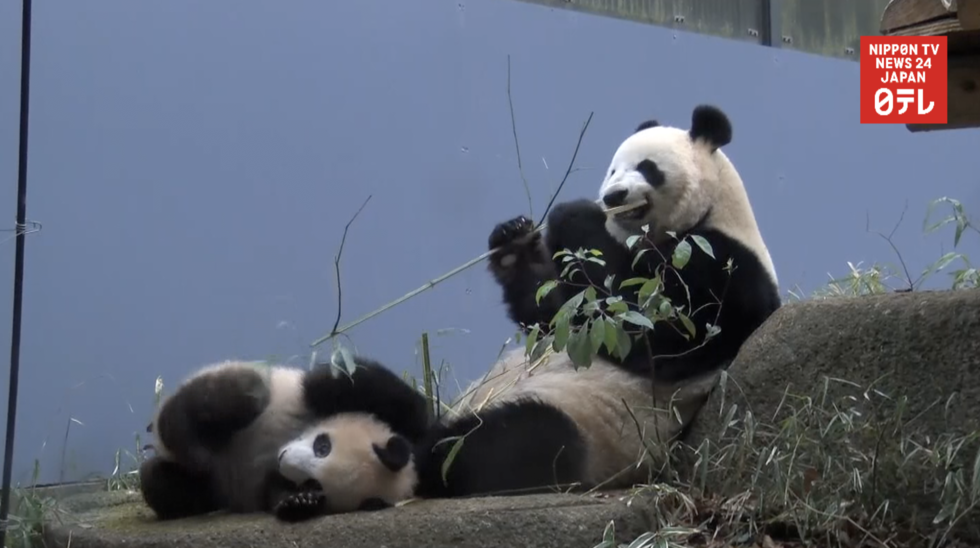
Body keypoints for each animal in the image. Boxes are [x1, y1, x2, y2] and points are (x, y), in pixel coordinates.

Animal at [139, 355, 430, 522]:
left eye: (313, 483)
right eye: (322, 446)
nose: (283, 458)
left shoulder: (271, 481)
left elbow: (275, 493)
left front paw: (299, 504)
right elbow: (351, 380)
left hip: (208, 487)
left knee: (164, 484)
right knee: (232, 393)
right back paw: (191, 442)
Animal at [411, 104, 781, 499]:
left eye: (647, 167)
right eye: (613, 169)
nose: (614, 196)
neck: (712, 211)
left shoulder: (726, 269)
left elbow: (655, 330)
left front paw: (573, 213)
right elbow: (554, 314)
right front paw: (513, 243)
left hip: (590, 428)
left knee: (506, 442)